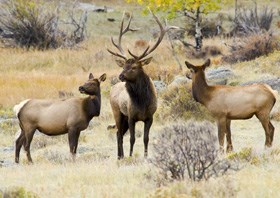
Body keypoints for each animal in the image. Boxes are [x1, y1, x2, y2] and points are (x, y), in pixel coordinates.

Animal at [107, 11, 177, 159]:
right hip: (118, 113)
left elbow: (146, 138)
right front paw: (130, 156)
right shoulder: (131, 116)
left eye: (133, 67)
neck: (142, 103)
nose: (120, 76)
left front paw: (145, 156)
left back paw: (120, 155)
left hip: (124, 117)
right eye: (124, 66)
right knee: (119, 134)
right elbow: (132, 138)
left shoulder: (150, 117)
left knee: (119, 133)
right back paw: (120, 156)